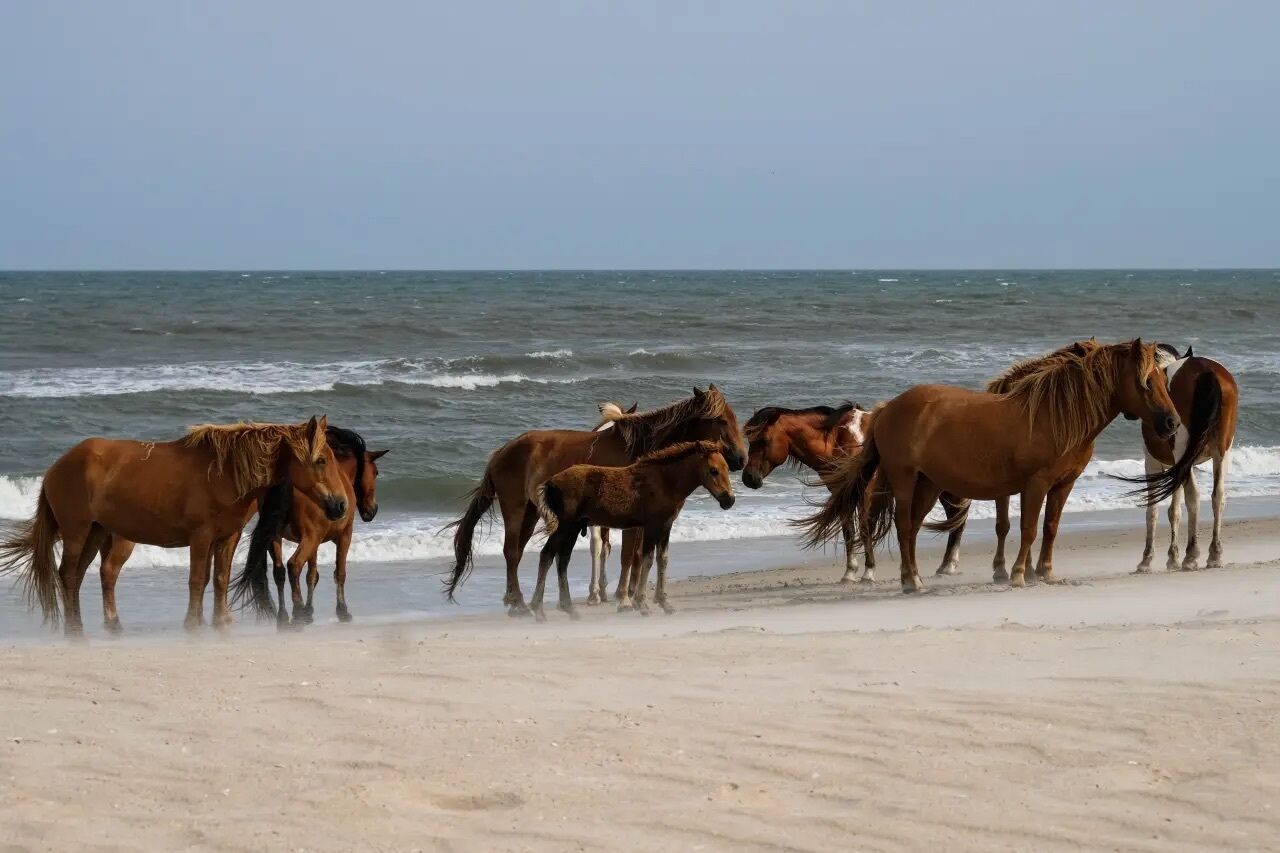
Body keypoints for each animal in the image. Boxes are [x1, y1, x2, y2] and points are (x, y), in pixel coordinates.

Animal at [0, 417, 347, 635]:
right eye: (321, 460)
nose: (341, 505)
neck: (224, 473)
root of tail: (56, 467)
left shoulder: (227, 537)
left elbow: (218, 578)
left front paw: (220, 621)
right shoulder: (201, 536)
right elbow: (197, 580)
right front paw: (192, 623)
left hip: (96, 533)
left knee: (84, 575)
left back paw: (107, 623)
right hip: (77, 532)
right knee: (69, 574)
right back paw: (75, 628)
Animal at [532, 441, 736, 619]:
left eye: (727, 468)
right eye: (713, 470)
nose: (729, 500)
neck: (665, 481)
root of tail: (550, 483)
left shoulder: (666, 526)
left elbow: (662, 559)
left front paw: (665, 603)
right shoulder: (652, 526)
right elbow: (647, 559)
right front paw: (642, 604)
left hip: (572, 529)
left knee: (561, 560)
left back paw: (568, 609)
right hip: (566, 527)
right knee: (547, 555)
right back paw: (539, 611)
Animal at [741, 402, 970, 583]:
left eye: (764, 440)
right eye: (750, 441)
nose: (748, 478)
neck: (840, 439)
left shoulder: (865, 493)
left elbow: (865, 528)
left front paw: (868, 572)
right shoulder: (843, 493)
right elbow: (848, 531)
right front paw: (849, 572)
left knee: (957, 519)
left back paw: (948, 566)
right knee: (955, 518)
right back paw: (946, 565)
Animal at [798, 340, 1187, 592]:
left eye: (1162, 379)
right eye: (1146, 381)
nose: (1172, 423)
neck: (1056, 416)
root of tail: (886, 408)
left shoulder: (1064, 485)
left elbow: (1050, 528)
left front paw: (1045, 572)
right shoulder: (1035, 484)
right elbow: (1028, 529)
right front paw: (1017, 574)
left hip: (927, 483)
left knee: (912, 526)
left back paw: (916, 577)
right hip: (906, 479)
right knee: (904, 525)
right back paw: (911, 581)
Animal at [1134, 344, 1239, 572]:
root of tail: (1206, 372)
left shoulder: (1152, 462)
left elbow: (1152, 510)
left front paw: (1147, 559)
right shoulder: (1177, 467)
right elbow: (1174, 510)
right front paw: (1172, 557)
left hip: (1183, 451)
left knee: (1194, 496)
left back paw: (1191, 555)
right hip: (1222, 451)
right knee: (1218, 495)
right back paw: (1214, 554)